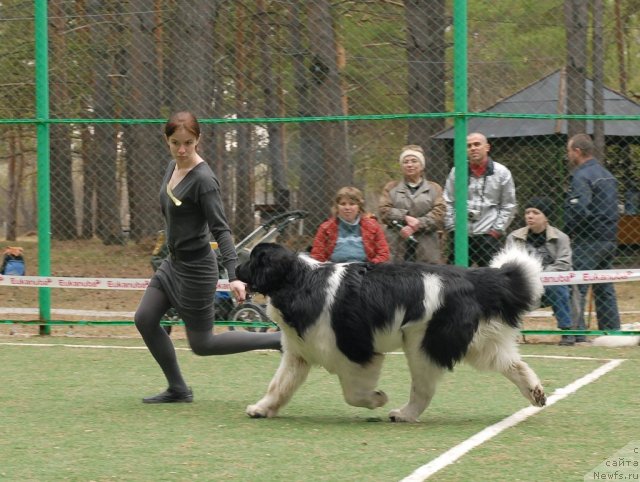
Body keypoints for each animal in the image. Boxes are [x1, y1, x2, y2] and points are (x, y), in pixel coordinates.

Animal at [238, 245, 548, 422]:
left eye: (253, 260)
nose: (236, 264)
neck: (300, 282)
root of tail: (473, 278)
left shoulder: (357, 353)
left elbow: (352, 394)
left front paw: (377, 398)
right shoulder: (298, 355)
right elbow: (279, 385)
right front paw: (262, 409)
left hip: (421, 346)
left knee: (423, 390)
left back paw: (403, 414)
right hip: (476, 344)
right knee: (513, 364)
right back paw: (536, 393)